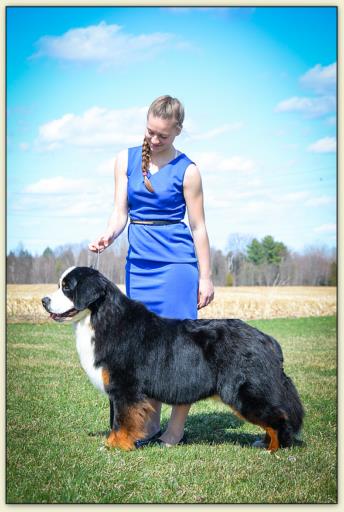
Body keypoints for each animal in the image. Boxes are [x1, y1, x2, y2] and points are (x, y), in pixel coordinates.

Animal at [41, 266, 304, 450]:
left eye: (67, 287)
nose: (43, 301)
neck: (100, 318)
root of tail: (268, 340)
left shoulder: (125, 387)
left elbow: (122, 420)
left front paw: (115, 446)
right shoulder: (119, 390)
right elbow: (119, 418)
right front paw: (118, 443)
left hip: (243, 393)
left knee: (279, 418)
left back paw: (274, 449)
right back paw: (265, 443)